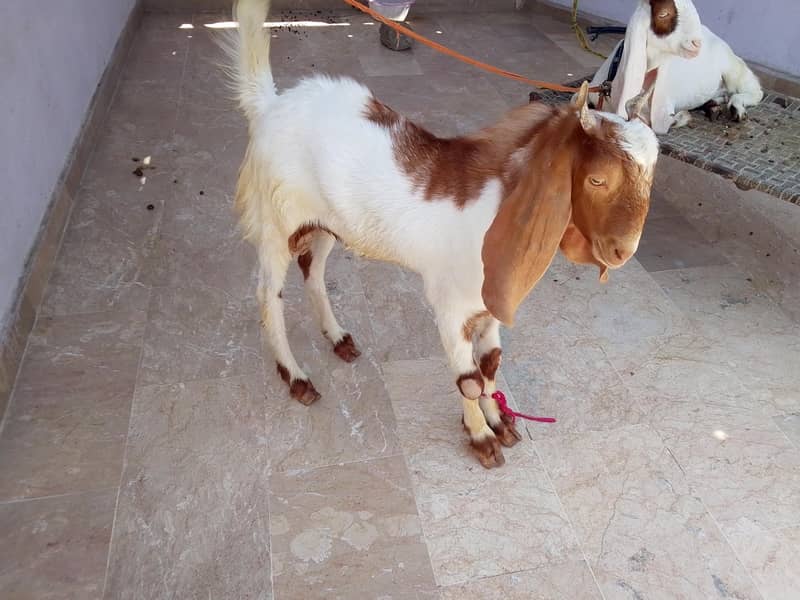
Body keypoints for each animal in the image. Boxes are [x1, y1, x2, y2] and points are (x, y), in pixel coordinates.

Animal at [225, 0, 660, 468]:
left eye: (652, 174)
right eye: (597, 180)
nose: (623, 250)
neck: (497, 210)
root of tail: (270, 104)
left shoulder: (487, 307)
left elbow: (490, 364)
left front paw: (498, 421)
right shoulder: (449, 306)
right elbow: (468, 377)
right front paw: (481, 438)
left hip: (325, 224)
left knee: (313, 270)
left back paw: (338, 338)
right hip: (276, 224)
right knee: (268, 295)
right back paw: (296, 378)